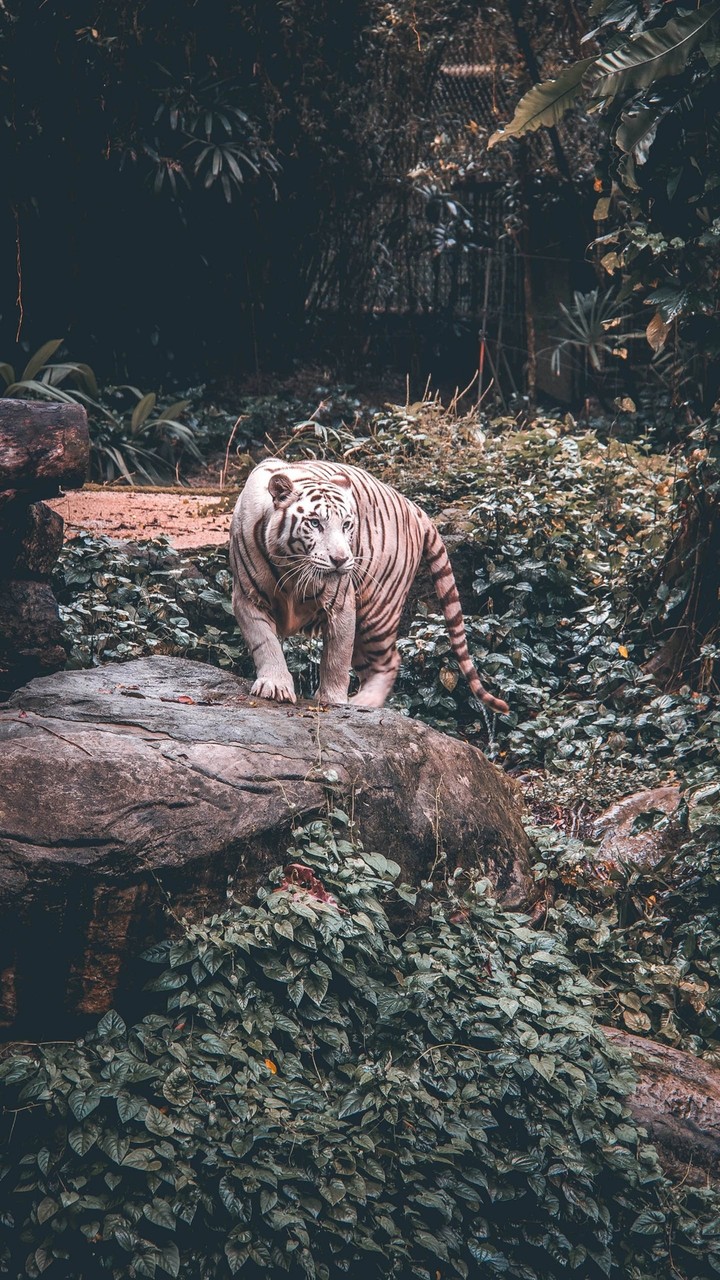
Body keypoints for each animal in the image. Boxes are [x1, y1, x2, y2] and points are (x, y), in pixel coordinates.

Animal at [229, 458, 509, 714]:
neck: (292, 568)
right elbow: (265, 643)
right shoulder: (247, 598)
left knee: (390, 661)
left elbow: (336, 658)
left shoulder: (341, 604)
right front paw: (275, 686)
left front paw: (332, 700)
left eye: (346, 525)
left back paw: (364, 703)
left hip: (377, 612)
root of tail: (411, 504)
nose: (341, 560)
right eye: (315, 523)